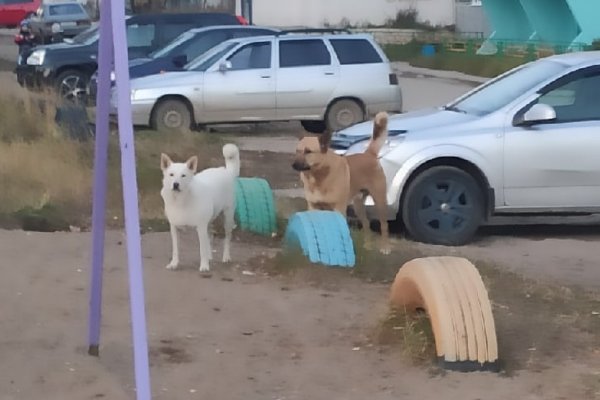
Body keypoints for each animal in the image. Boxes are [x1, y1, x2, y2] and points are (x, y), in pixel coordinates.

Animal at [162, 145, 241, 274]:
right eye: (171, 174)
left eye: (183, 175)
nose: (176, 184)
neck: (181, 201)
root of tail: (226, 171)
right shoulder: (174, 228)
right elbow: (175, 249)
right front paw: (174, 264)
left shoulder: (200, 227)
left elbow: (202, 249)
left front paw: (204, 266)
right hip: (209, 221)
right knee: (210, 235)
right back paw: (210, 257)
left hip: (227, 218)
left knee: (227, 238)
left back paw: (226, 257)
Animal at [292, 111, 392, 253]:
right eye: (297, 151)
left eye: (308, 151)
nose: (293, 165)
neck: (318, 177)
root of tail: (369, 154)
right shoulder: (313, 207)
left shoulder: (338, 209)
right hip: (358, 205)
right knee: (366, 224)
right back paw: (367, 247)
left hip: (380, 201)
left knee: (384, 225)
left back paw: (385, 247)